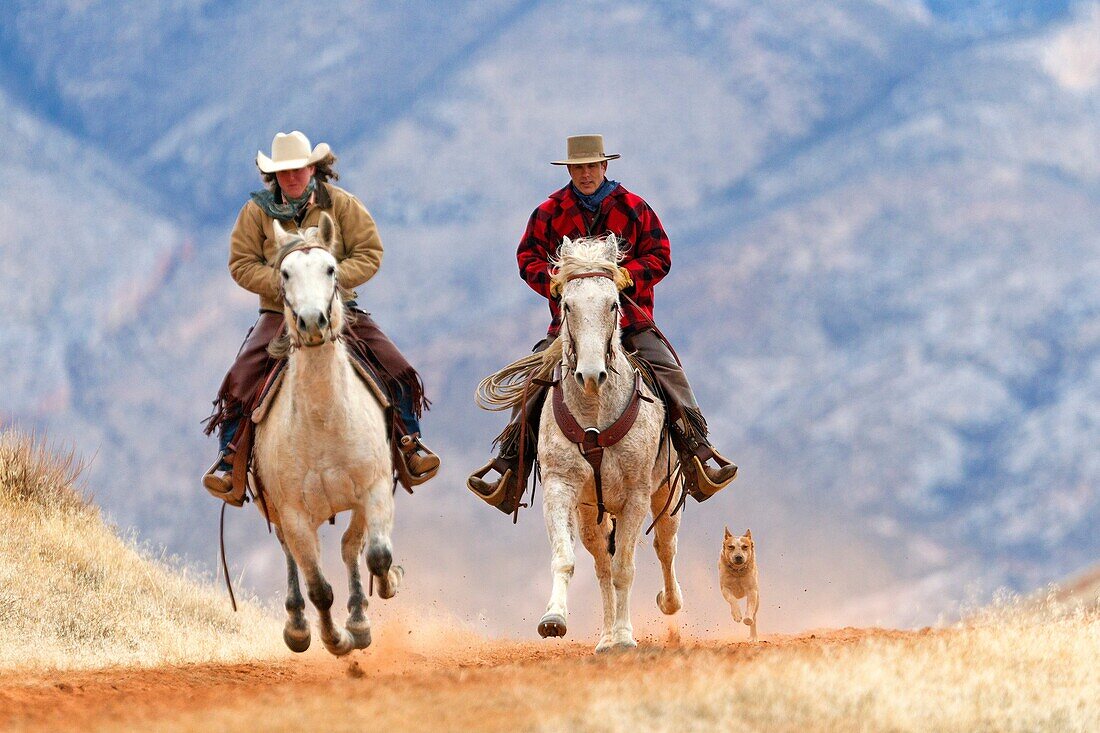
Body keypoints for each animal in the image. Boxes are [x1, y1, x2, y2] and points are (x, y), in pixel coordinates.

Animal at [253, 212, 404, 655]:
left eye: (331, 268)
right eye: (285, 273)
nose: (311, 322)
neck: (324, 422)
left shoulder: (373, 489)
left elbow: (377, 555)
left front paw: (381, 593)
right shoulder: (294, 515)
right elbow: (319, 587)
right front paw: (334, 640)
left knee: (351, 547)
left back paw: (359, 617)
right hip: (278, 512)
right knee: (292, 557)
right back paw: (299, 625)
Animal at [536, 234, 682, 651]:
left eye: (614, 303)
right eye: (566, 304)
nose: (590, 374)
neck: (595, 413)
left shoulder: (636, 496)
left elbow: (625, 569)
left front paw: (626, 637)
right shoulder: (559, 486)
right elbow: (567, 559)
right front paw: (553, 619)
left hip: (667, 494)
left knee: (664, 547)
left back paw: (667, 603)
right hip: (591, 514)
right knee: (601, 563)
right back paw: (603, 639)